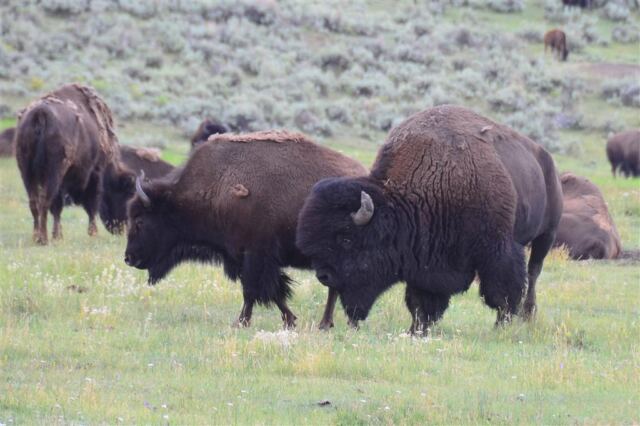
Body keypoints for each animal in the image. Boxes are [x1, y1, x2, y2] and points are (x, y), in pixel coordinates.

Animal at [15, 84, 119, 245]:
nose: (119, 229)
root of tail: (41, 113)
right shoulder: (95, 173)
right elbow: (91, 204)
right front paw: (92, 233)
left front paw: (58, 235)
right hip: (53, 173)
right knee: (45, 201)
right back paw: (43, 239)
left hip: (26, 172)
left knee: (35, 202)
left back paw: (36, 236)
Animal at [124, 131, 366, 329]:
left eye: (140, 221)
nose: (128, 258)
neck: (217, 184)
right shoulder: (243, 257)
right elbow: (273, 291)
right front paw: (289, 320)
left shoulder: (255, 255)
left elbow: (253, 290)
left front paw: (242, 322)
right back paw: (332, 323)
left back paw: (331, 323)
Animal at [297, 105, 563, 332]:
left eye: (347, 239)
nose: (323, 276)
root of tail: (545, 158)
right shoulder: (426, 260)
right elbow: (420, 300)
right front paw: (417, 328)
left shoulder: (498, 249)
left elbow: (502, 292)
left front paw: (501, 324)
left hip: (546, 235)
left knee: (533, 272)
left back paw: (527, 316)